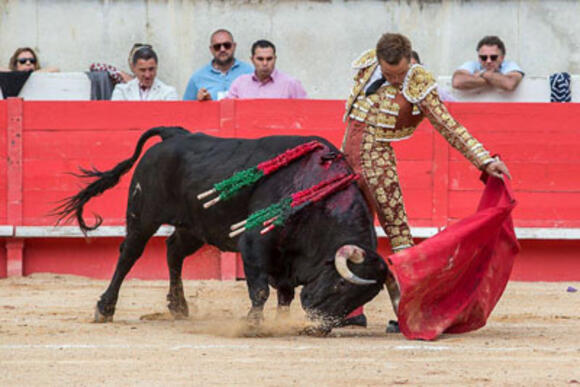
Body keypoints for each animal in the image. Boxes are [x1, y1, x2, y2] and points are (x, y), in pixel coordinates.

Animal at [55, 127, 390, 334]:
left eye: (358, 299)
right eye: (341, 285)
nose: (318, 328)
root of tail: (174, 134)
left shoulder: (287, 258)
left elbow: (284, 294)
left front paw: (281, 322)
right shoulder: (254, 243)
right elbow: (260, 290)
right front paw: (252, 325)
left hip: (193, 228)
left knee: (174, 251)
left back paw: (179, 306)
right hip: (143, 216)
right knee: (129, 254)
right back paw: (105, 308)